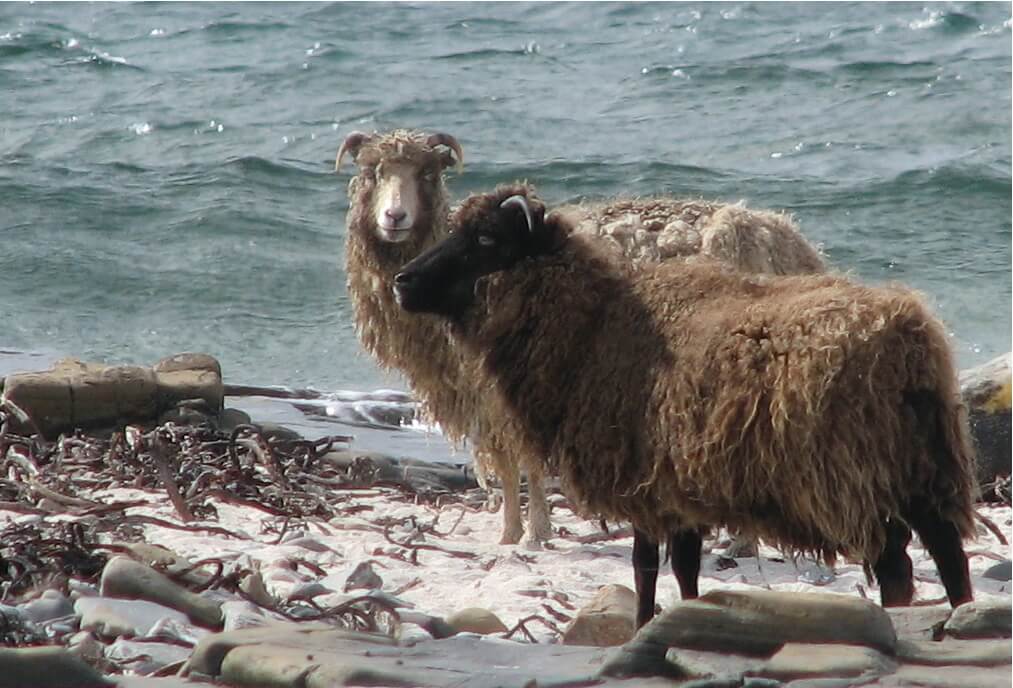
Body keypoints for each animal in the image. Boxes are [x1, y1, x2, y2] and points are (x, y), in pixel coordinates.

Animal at [392, 183, 977, 628]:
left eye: (486, 237)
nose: (403, 281)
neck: (594, 328)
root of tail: (908, 335)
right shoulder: (678, 488)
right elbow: (687, 570)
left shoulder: (643, 485)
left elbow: (645, 568)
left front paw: (644, 624)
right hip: (926, 469)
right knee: (949, 556)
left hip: (857, 478)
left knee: (897, 565)